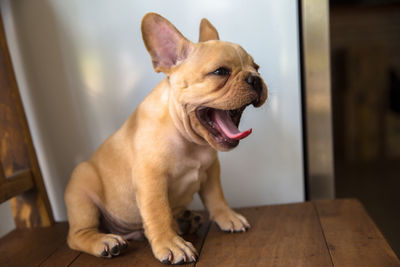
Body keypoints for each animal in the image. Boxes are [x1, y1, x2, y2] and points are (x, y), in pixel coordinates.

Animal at [64, 13, 268, 266]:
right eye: (220, 72)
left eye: (257, 67)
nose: (255, 78)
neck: (188, 140)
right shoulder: (151, 179)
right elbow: (158, 213)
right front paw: (169, 243)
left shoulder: (211, 171)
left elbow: (216, 197)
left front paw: (227, 216)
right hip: (82, 191)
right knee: (76, 235)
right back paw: (105, 241)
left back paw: (184, 219)